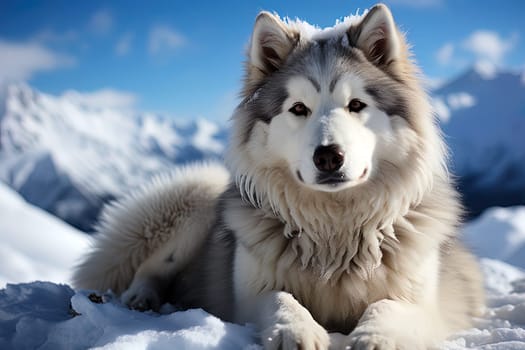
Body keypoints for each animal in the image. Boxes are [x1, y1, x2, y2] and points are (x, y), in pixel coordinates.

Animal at [73, 4, 484, 348]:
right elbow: (279, 298)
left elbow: (390, 306)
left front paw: (374, 338)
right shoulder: (249, 295)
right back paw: (140, 298)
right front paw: (295, 331)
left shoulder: (424, 303)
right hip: (201, 195)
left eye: (356, 105)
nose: (329, 156)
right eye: (298, 109)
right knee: (148, 267)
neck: (335, 230)